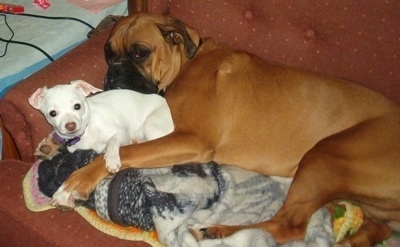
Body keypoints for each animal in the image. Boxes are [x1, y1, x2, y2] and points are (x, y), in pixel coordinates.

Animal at [26, 80, 173, 173]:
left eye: (77, 106)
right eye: (53, 113)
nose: (71, 125)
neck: (86, 132)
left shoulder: (120, 133)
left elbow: (112, 142)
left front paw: (111, 159)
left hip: (151, 126)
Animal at [50, 12, 400, 246]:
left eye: (140, 52)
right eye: (108, 52)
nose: (112, 74)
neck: (188, 63)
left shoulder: (191, 140)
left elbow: (129, 150)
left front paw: (77, 181)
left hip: (324, 155)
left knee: (290, 225)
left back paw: (217, 231)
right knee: (377, 229)